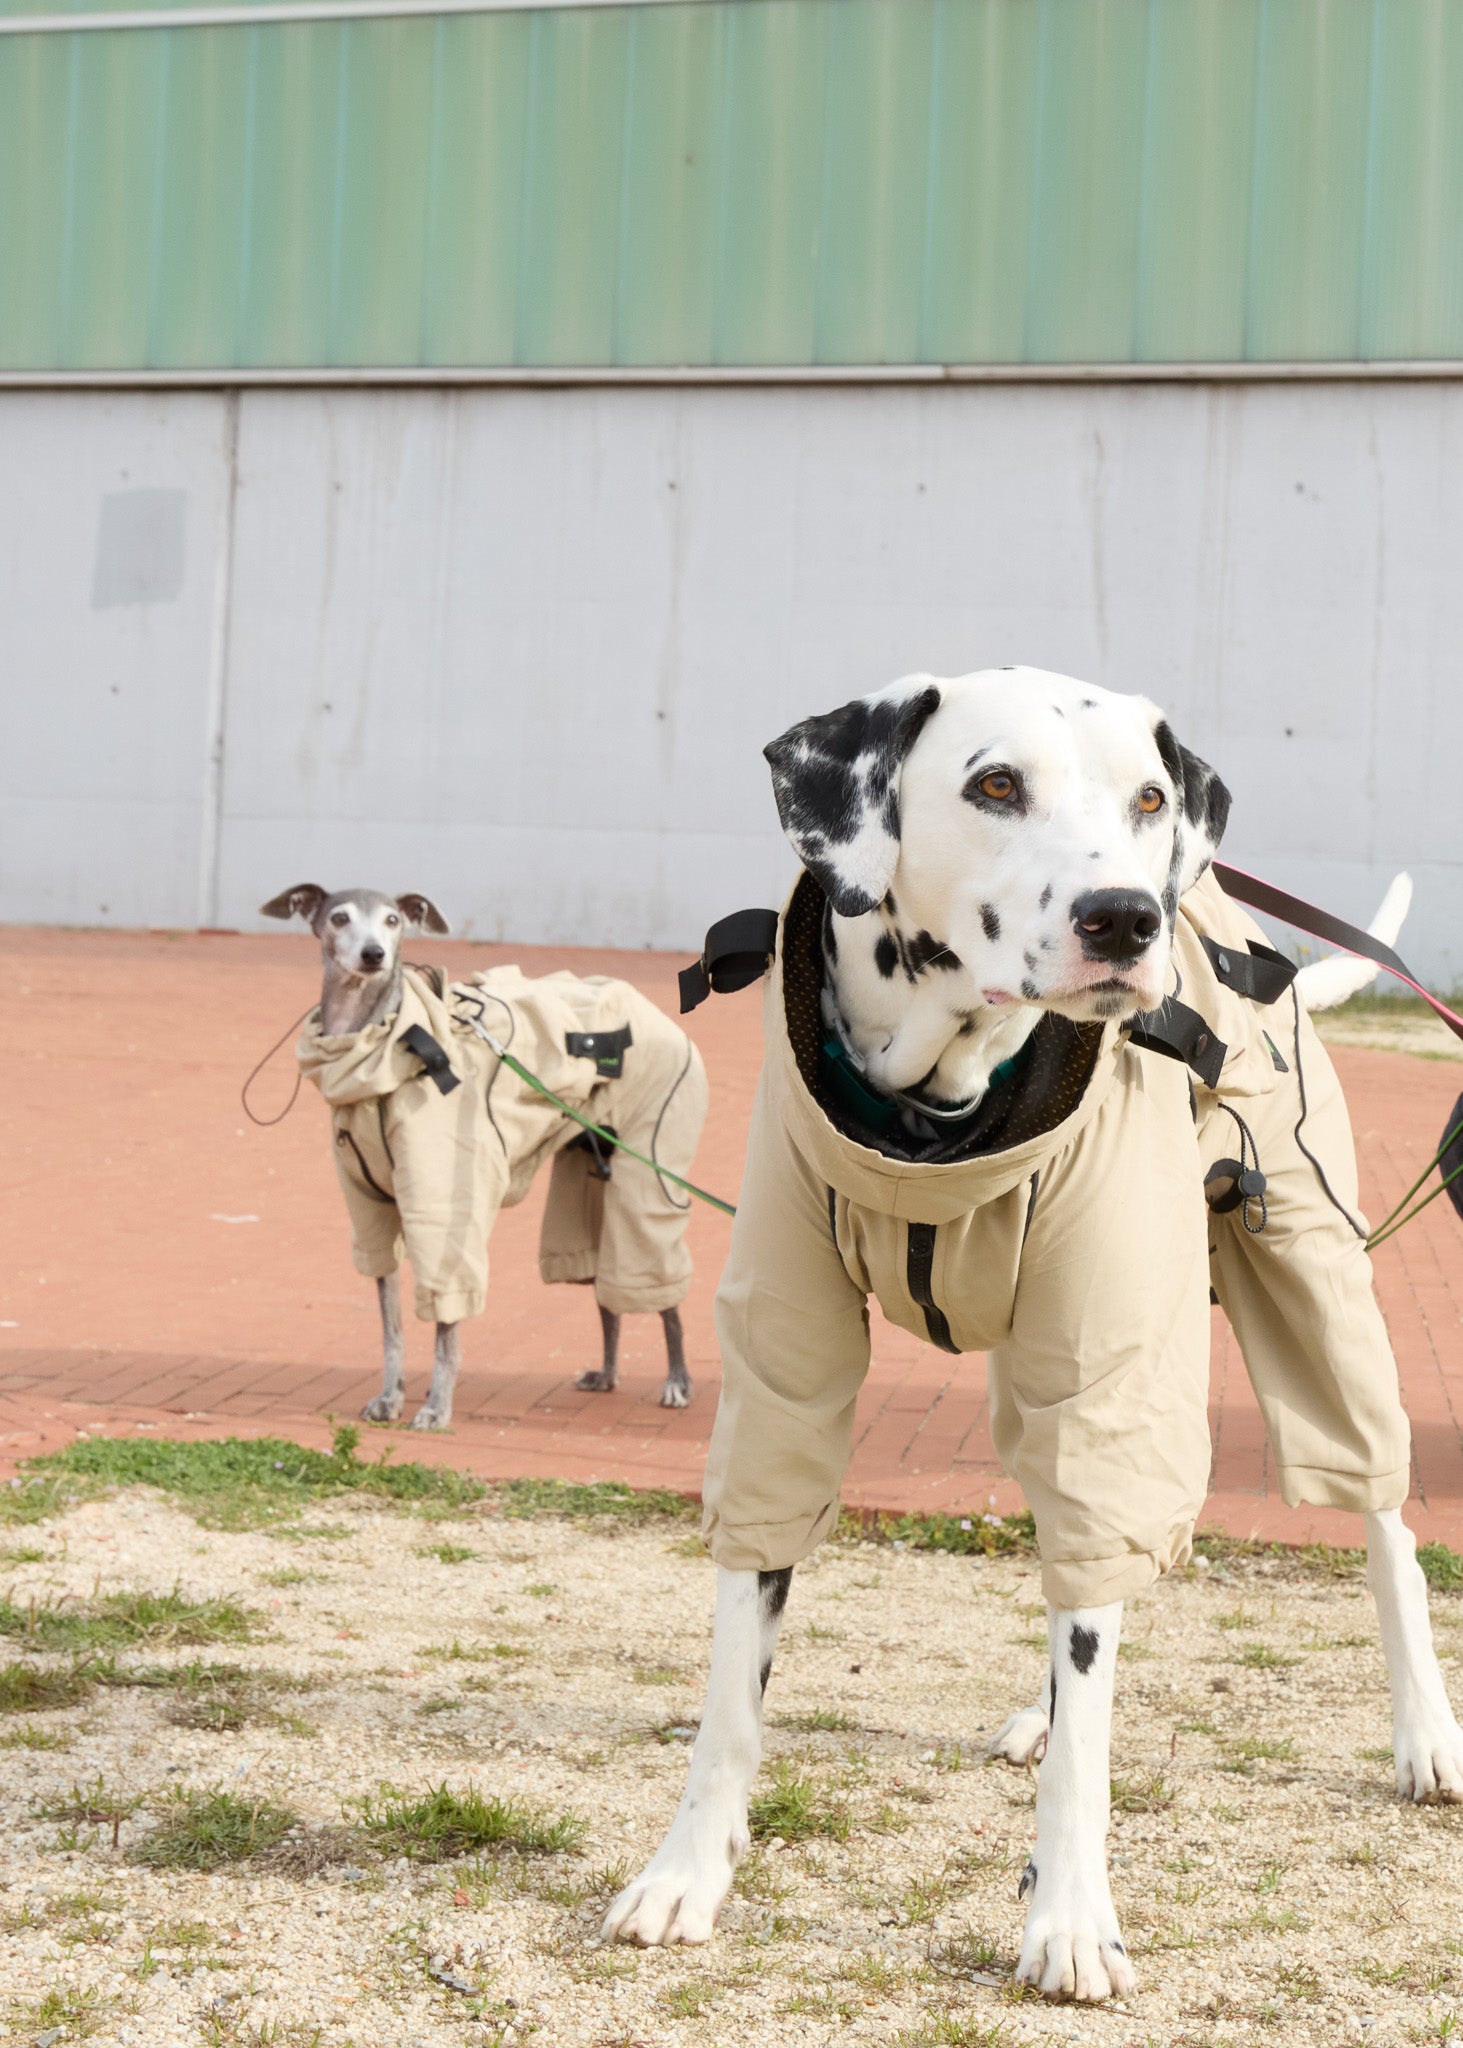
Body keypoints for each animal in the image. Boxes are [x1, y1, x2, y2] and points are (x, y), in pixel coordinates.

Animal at [598, 667, 1450, 1998]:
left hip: (1306, 1278)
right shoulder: (781, 1373)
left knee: (1370, 1514)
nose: (1125, 919)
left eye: (1146, 795)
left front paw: (1069, 1915)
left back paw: (1424, 1734)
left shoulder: (1113, 1367)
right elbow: (737, 1673)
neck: (934, 1122)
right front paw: (687, 1870)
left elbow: (1091, 1704)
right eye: (994, 783)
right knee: (1091, 1552)